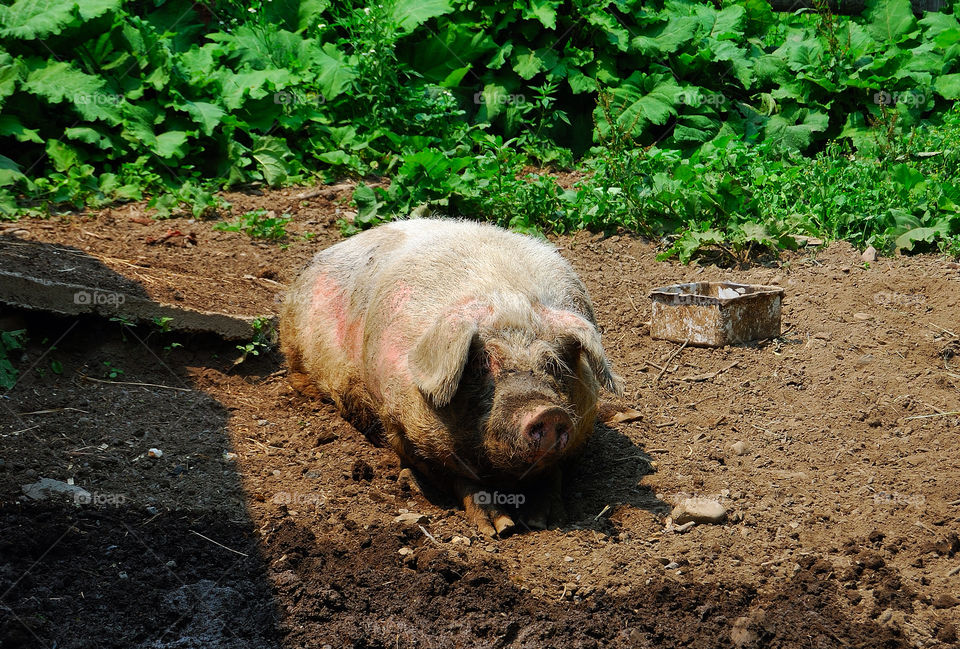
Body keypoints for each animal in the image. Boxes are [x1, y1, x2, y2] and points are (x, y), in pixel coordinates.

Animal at [280, 219, 622, 536]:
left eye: (552, 364)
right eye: (482, 364)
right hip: (295, 343)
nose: (547, 412)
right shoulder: (402, 429)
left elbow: (553, 473)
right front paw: (499, 529)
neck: (507, 296)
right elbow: (458, 478)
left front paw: (544, 522)